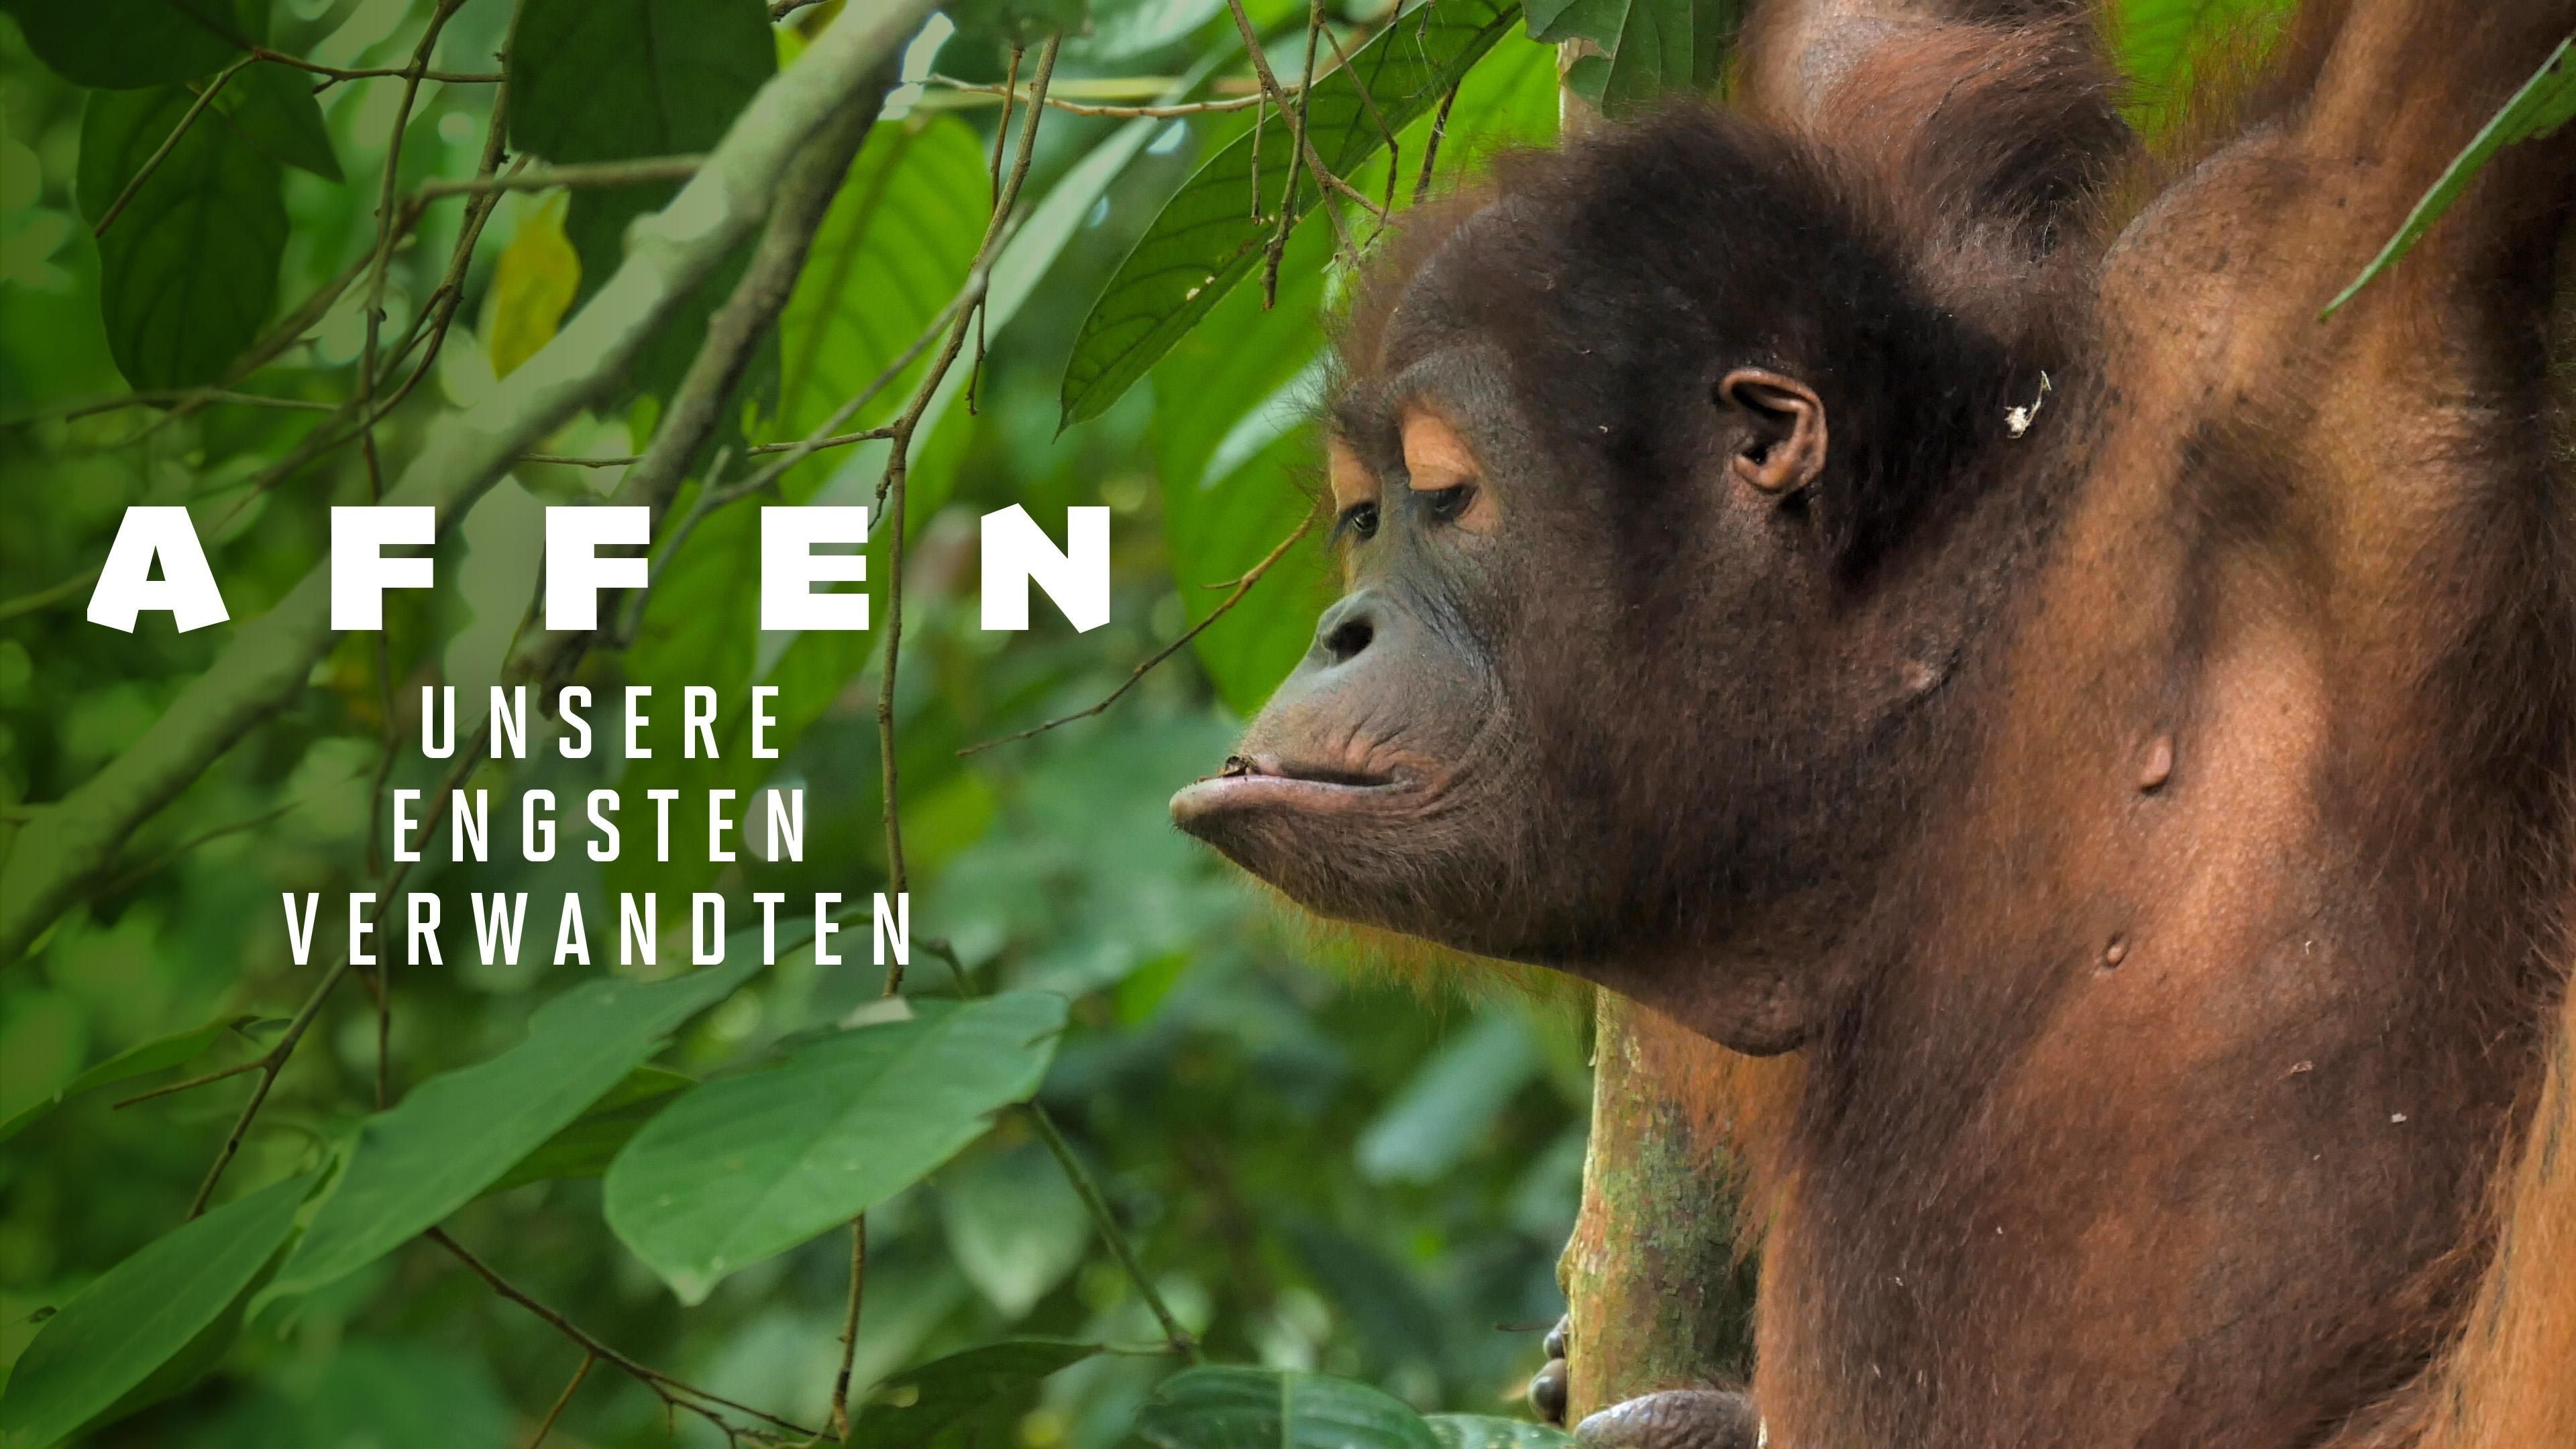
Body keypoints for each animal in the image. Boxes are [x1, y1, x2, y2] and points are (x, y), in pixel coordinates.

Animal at [1169, 1, 2576, 1444]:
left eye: (1447, 498)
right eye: (1363, 517)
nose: (1343, 630)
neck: (1925, 679)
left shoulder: (2277, 307)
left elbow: (2416, 94)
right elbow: (1888, 55)